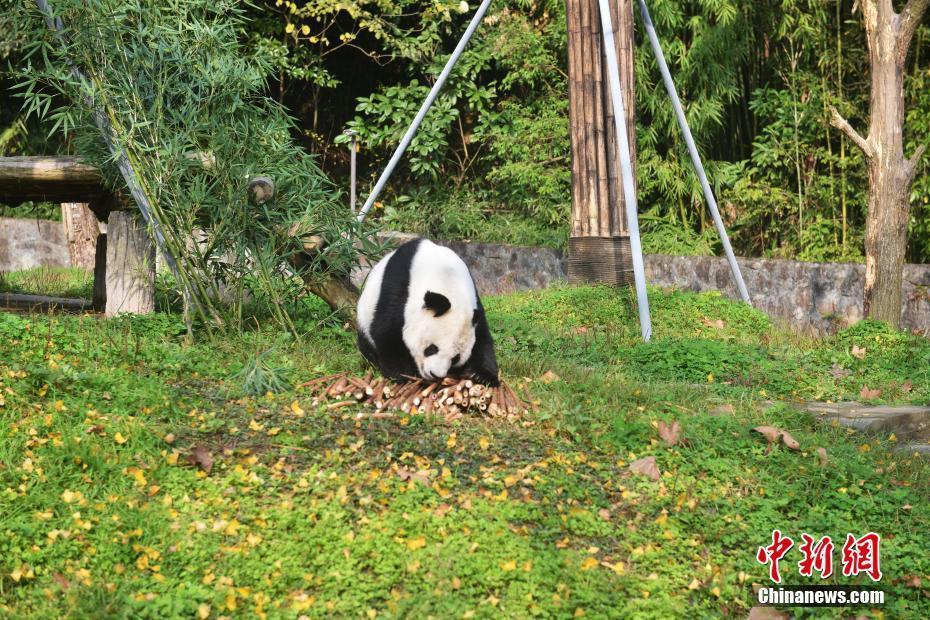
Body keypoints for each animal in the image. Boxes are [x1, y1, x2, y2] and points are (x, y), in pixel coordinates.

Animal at [358, 240, 500, 386]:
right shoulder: (399, 289)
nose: (435, 374)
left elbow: (482, 338)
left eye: (455, 358)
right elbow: (387, 333)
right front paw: (403, 376)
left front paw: (482, 376)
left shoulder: (474, 307)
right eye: (432, 348)